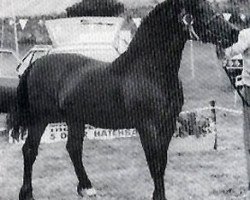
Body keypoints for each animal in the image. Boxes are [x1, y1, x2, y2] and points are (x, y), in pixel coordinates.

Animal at [16, 0, 239, 200]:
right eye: (199, 8)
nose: (234, 32)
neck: (149, 71)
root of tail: (35, 64)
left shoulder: (167, 124)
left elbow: (162, 162)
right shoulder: (148, 127)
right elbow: (155, 164)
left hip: (75, 119)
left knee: (73, 148)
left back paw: (87, 188)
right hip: (40, 119)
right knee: (30, 150)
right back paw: (27, 193)